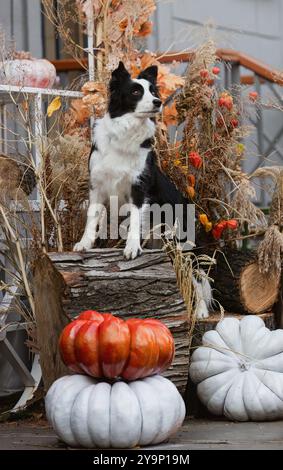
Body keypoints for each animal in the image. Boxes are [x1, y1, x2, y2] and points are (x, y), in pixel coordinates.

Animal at [74, 62, 212, 318]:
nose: (158, 102)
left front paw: (131, 248)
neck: (127, 131)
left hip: (181, 245)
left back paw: (199, 311)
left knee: (194, 278)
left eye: (154, 91)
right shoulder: (97, 185)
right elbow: (92, 217)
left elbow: (136, 220)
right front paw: (84, 243)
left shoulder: (139, 188)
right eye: (136, 91)